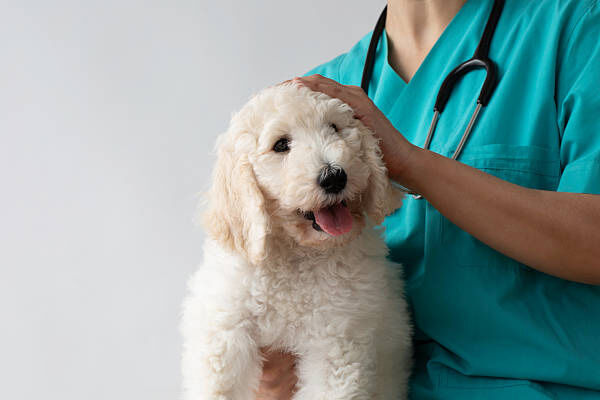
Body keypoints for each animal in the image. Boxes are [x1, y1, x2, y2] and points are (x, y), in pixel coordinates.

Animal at [181, 82, 412, 400]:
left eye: (334, 127)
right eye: (281, 145)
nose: (334, 176)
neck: (297, 254)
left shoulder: (337, 339)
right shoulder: (224, 326)